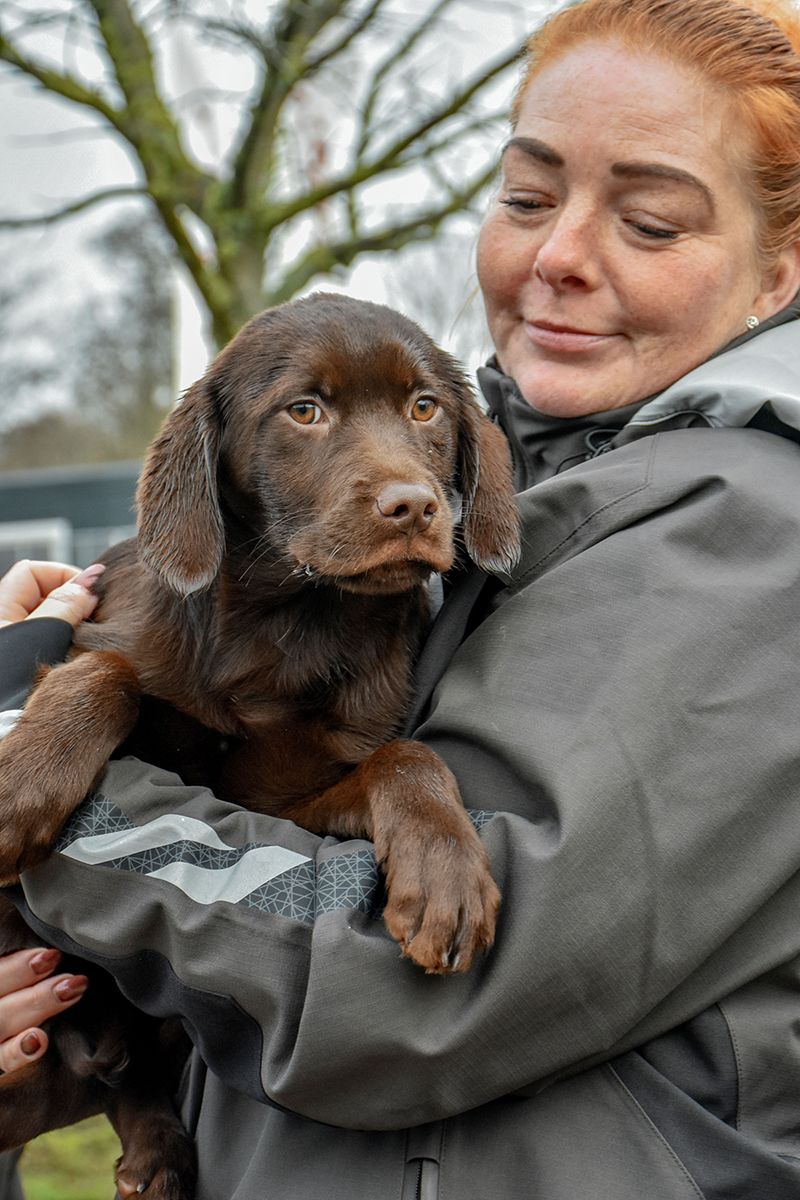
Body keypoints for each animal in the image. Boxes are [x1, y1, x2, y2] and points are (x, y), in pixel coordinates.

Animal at [0, 292, 520, 1200]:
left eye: (425, 408)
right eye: (303, 411)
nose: (414, 506)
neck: (291, 624)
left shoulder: (288, 802)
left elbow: (404, 759)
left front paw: (446, 879)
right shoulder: (102, 630)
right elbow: (106, 673)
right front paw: (21, 784)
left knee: (135, 1075)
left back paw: (158, 1157)